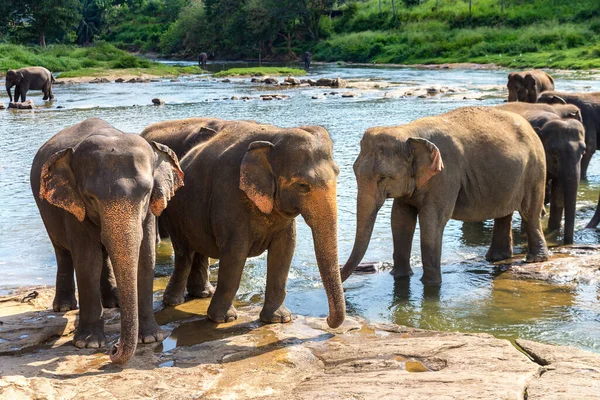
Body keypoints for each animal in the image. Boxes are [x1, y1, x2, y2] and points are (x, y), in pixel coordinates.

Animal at [29, 117, 183, 364]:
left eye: (146, 193)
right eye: (91, 198)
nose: (114, 348)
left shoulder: (150, 210)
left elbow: (146, 257)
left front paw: (150, 338)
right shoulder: (74, 208)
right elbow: (87, 262)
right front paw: (88, 344)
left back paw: (114, 302)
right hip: (47, 210)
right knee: (62, 252)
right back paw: (64, 307)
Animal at [150, 118, 346, 328]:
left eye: (338, 174)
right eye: (302, 186)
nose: (327, 319)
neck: (275, 137)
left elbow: (285, 250)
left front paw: (279, 319)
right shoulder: (228, 194)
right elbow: (235, 253)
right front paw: (224, 319)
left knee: (199, 250)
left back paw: (202, 294)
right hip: (174, 212)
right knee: (184, 253)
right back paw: (174, 302)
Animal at [340, 106, 552, 284]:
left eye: (383, 177)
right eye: (354, 171)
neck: (407, 131)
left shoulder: (446, 174)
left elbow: (432, 221)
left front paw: (431, 285)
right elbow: (400, 219)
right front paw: (399, 276)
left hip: (535, 168)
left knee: (530, 211)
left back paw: (535, 259)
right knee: (504, 212)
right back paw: (497, 257)